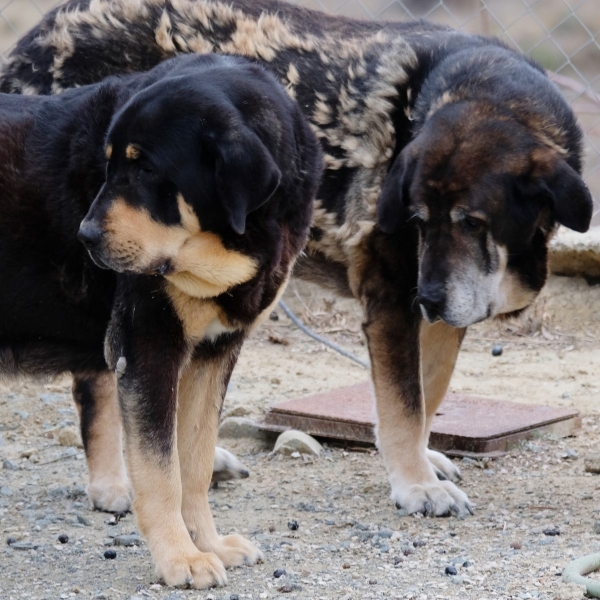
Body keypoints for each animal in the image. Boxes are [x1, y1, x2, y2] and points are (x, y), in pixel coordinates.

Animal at [0, 0, 592, 520]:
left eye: (472, 223)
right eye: (419, 219)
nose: (428, 296)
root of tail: (43, 30)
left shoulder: (443, 312)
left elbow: (431, 390)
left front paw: (422, 461)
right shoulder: (392, 297)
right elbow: (405, 403)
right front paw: (416, 484)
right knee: (100, 386)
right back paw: (121, 484)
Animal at [0, 54, 324, 588]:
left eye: (146, 168)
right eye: (108, 166)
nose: (85, 236)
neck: (231, 243)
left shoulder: (214, 353)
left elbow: (192, 463)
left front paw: (207, 543)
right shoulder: (148, 348)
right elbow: (160, 470)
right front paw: (181, 558)